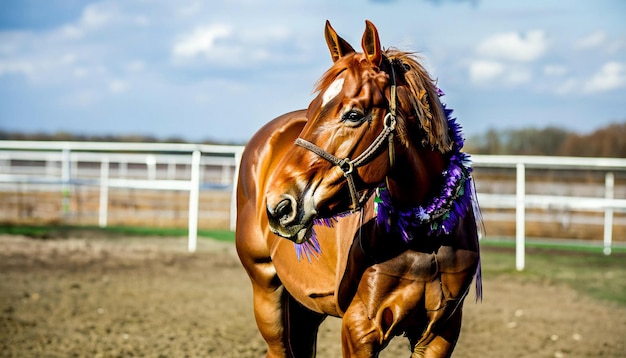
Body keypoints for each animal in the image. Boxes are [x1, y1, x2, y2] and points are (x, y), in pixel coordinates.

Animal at [236, 20, 480, 358]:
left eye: (354, 114)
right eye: (311, 110)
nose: (279, 205)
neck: (424, 233)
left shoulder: (441, 332)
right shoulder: (359, 329)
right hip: (266, 290)